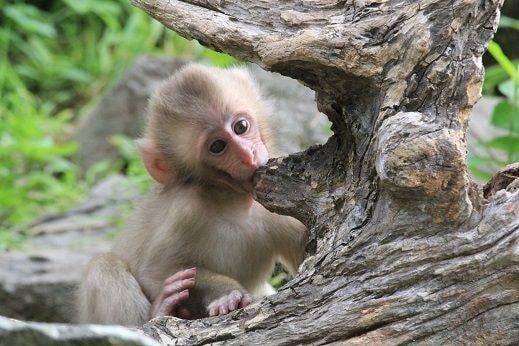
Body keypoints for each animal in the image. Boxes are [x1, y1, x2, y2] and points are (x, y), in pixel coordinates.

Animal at [77, 63, 308, 326]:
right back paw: (162, 309)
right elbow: (157, 269)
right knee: (102, 266)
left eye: (241, 127)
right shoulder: (186, 210)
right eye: (217, 146)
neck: (234, 201)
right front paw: (228, 296)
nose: (247, 155)